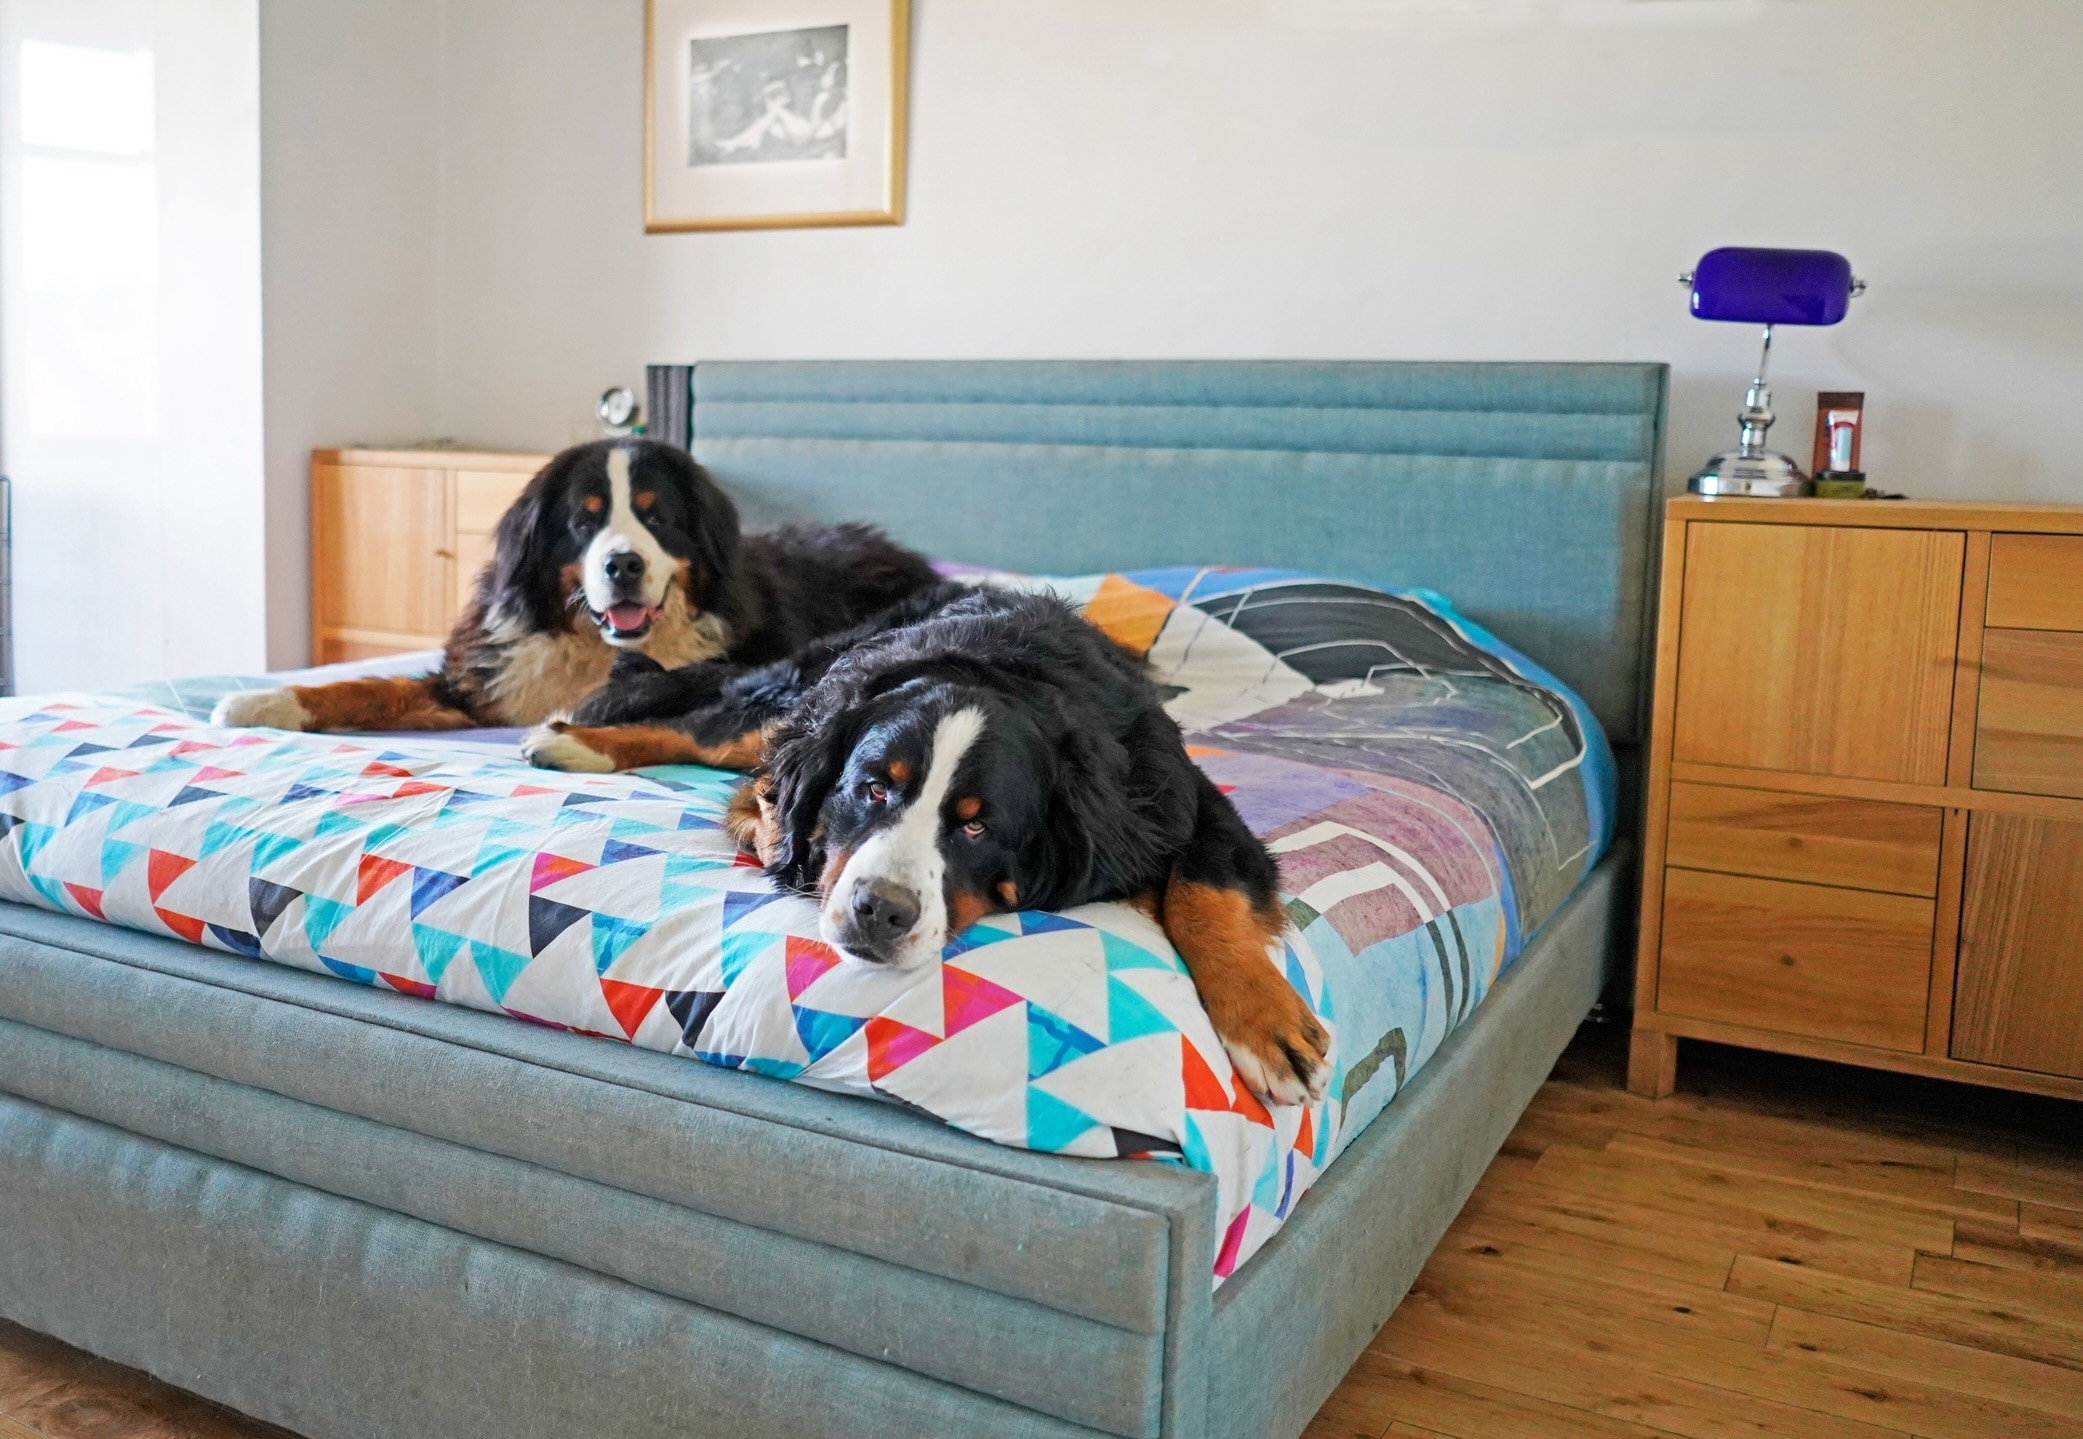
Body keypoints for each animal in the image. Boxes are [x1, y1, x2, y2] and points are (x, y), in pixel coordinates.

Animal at [207, 439, 933, 737]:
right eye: (584, 520)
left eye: (656, 516)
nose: (623, 566)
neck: (593, 646)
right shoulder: (485, 684)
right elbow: (364, 687)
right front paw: (262, 701)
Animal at [524, 587, 1333, 1099]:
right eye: (873, 789)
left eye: (976, 825)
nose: (878, 910)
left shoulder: (1183, 803)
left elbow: (1205, 890)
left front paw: (1265, 1021)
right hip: (804, 693)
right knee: (717, 733)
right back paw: (578, 743)